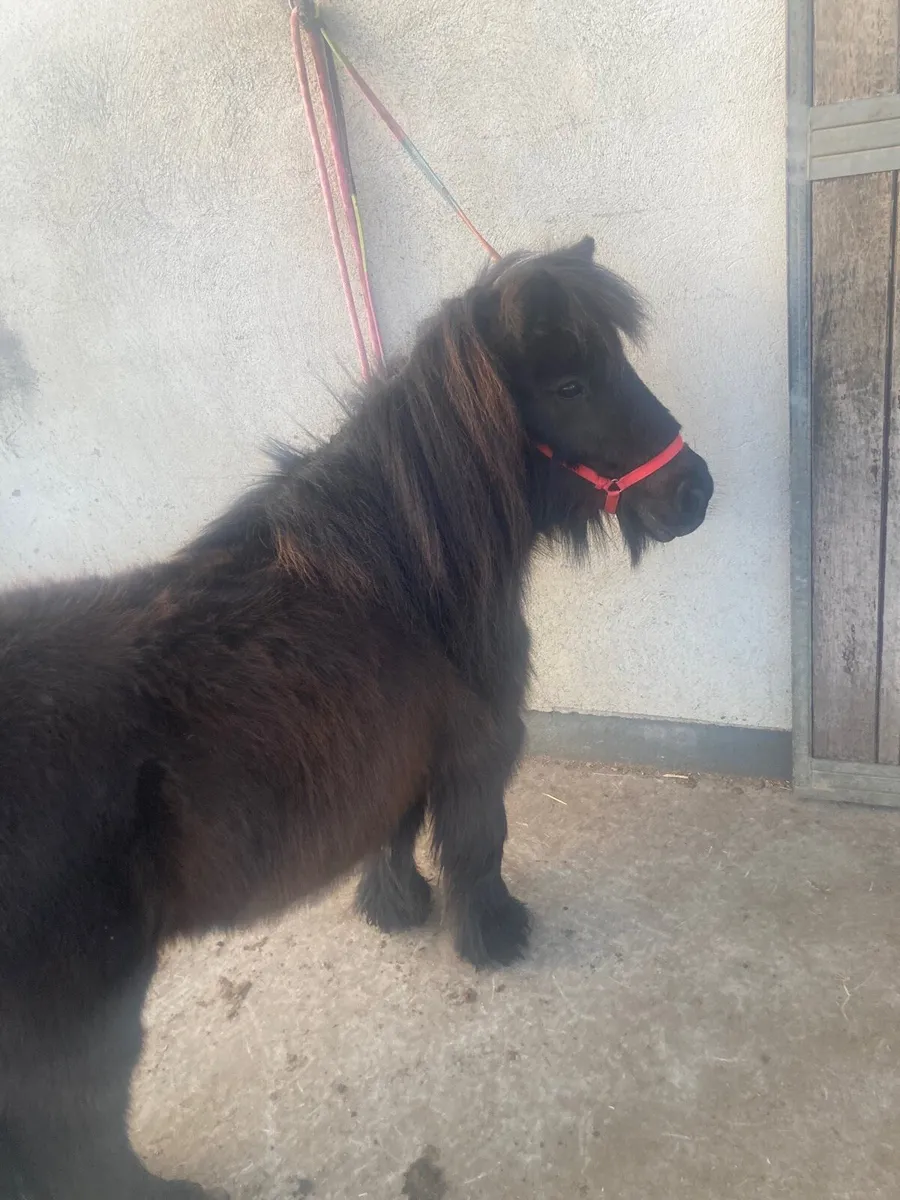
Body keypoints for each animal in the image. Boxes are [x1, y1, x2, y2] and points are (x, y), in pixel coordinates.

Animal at [0, 237, 713, 1198]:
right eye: (570, 384)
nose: (694, 491)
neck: (400, 578)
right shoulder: (475, 752)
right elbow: (476, 844)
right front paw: (492, 934)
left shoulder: (394, 756)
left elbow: (396, 832)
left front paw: (395, 908)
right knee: (78, 1138)